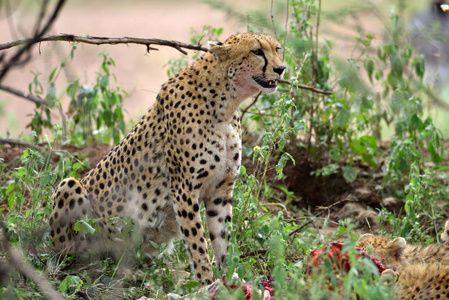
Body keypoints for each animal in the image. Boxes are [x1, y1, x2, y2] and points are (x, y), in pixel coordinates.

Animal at [49, 32, 286, 284]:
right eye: (257, 51)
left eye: (277, 49)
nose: (281, 68)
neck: (225, 105)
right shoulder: (183, 189)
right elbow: (197, 242)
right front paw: (206, 283)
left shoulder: (221, 190)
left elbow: (223, 239)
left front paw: (230, 278)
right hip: (70, 188)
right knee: (76, 256)